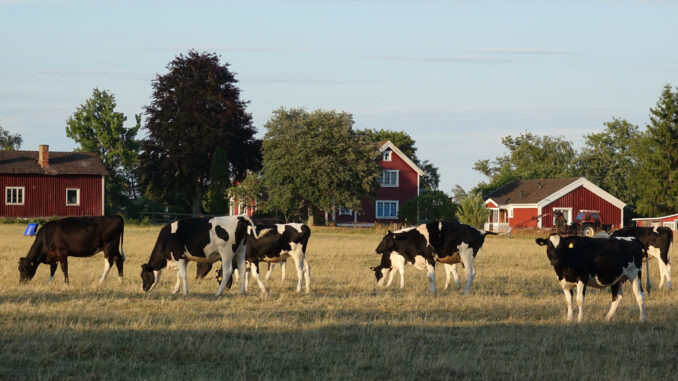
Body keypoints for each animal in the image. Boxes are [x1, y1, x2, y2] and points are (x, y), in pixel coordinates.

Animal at [372, 220, 500, 294]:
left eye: (385, 239)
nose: (376, 249)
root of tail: (480, 231)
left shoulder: (429, 258)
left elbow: (430, 277)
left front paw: (432, 292)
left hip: (467, 256)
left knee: (471, 273)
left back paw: (465, 292)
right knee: (463, 273)